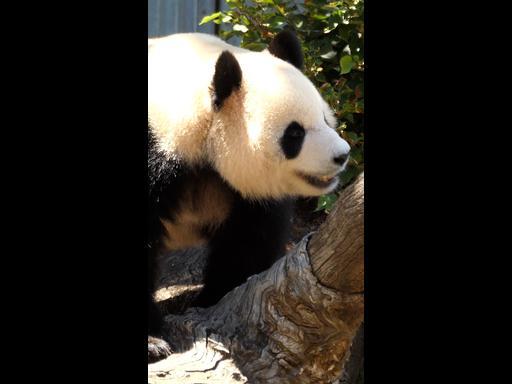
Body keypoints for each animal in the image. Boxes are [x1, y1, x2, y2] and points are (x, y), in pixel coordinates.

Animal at [146, 31, 350, 362]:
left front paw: (213, 299)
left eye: (325, 118)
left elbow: (247, 243)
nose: (342, 155)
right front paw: (153, 341)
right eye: (294, 134)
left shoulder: (249, 196)